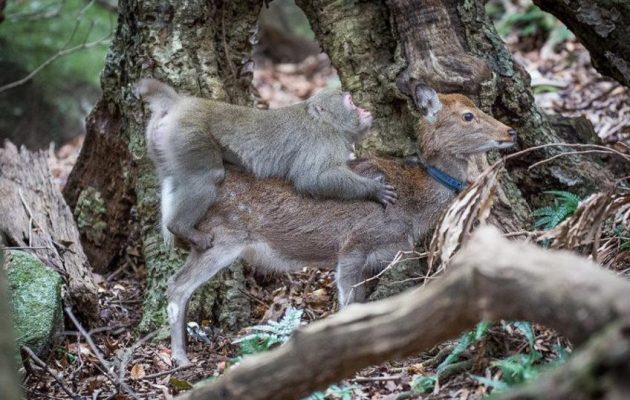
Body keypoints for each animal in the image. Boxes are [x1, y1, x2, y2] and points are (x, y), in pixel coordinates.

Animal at [136, 79, 398, 250]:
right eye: (349, 101)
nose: (363, 108)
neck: (326, 122)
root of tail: (180, 104)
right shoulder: (322, 140)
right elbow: (311, 179)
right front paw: (373, 189)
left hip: (163, 142)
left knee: (172, 179)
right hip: (188, 134)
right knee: (208, 177)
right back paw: (181, 227)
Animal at [163, 88, 520, 366]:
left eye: (477, 106)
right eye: (467, 116)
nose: (510, 132)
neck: (412, 207)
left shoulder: (377, 256)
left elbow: (361, 303)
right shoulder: (354, 244)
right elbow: (348, 305)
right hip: (222, 237)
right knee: (177, 285)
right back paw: (180, 358)